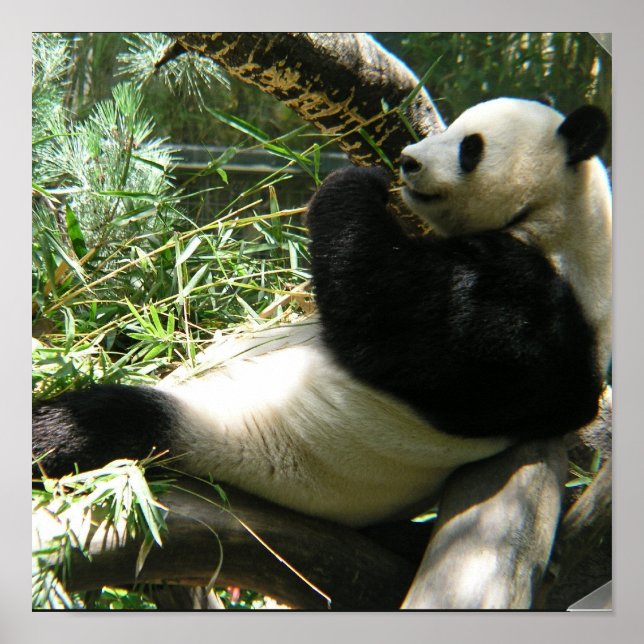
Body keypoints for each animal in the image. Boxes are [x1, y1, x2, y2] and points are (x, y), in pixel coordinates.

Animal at [32, 97, 611, 529]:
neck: (565, 223)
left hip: (214, 428)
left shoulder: (527, 308)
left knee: (100, 421)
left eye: (471, 146)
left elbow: (389, 317)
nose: (407, 159)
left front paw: (355, 180)